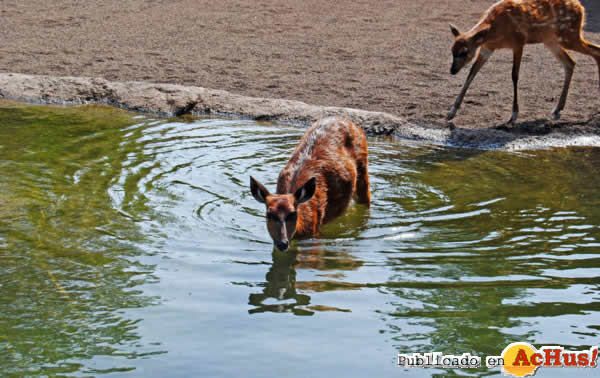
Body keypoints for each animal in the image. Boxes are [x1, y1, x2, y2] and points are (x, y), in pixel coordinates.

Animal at [442, 0, 600, 123]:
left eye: (464, 52)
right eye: (452, 50)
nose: (452, 70)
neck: (495, 32)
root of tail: (580, 7)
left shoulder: (518, 41)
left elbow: (514, 75)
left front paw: (514, 115)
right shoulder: (487, 48)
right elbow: (471, 73)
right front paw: (451, 112)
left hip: (569, 35)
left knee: (595, 51)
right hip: (551, 40)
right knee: (571, 62)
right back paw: (557, 109)